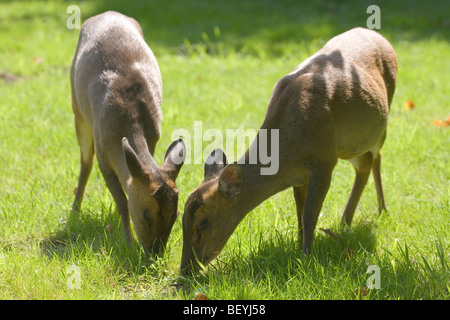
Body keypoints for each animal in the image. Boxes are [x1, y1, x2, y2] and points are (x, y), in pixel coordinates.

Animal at [70, 11, 185, 256]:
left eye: (175, 215)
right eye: (146, 216)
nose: (155, 254)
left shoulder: (153, 139)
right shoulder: (103, 152)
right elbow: (122, 201)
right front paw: (128, 243)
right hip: (77, 109)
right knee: (85, 161)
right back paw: (74, 211)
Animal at [181, 27, 396, 274]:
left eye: (203, 224)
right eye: (182, 220)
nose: (185, 269)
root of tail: (377, 35)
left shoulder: (324, 161)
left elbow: (310, 215)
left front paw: (306, 257)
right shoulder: (299, 176)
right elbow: (300, 213)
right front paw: (298, 245)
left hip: (377, 127)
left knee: (375, 158)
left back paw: (381, 210)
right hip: (352, 145)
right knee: (365, 164)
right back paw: (345, 222)